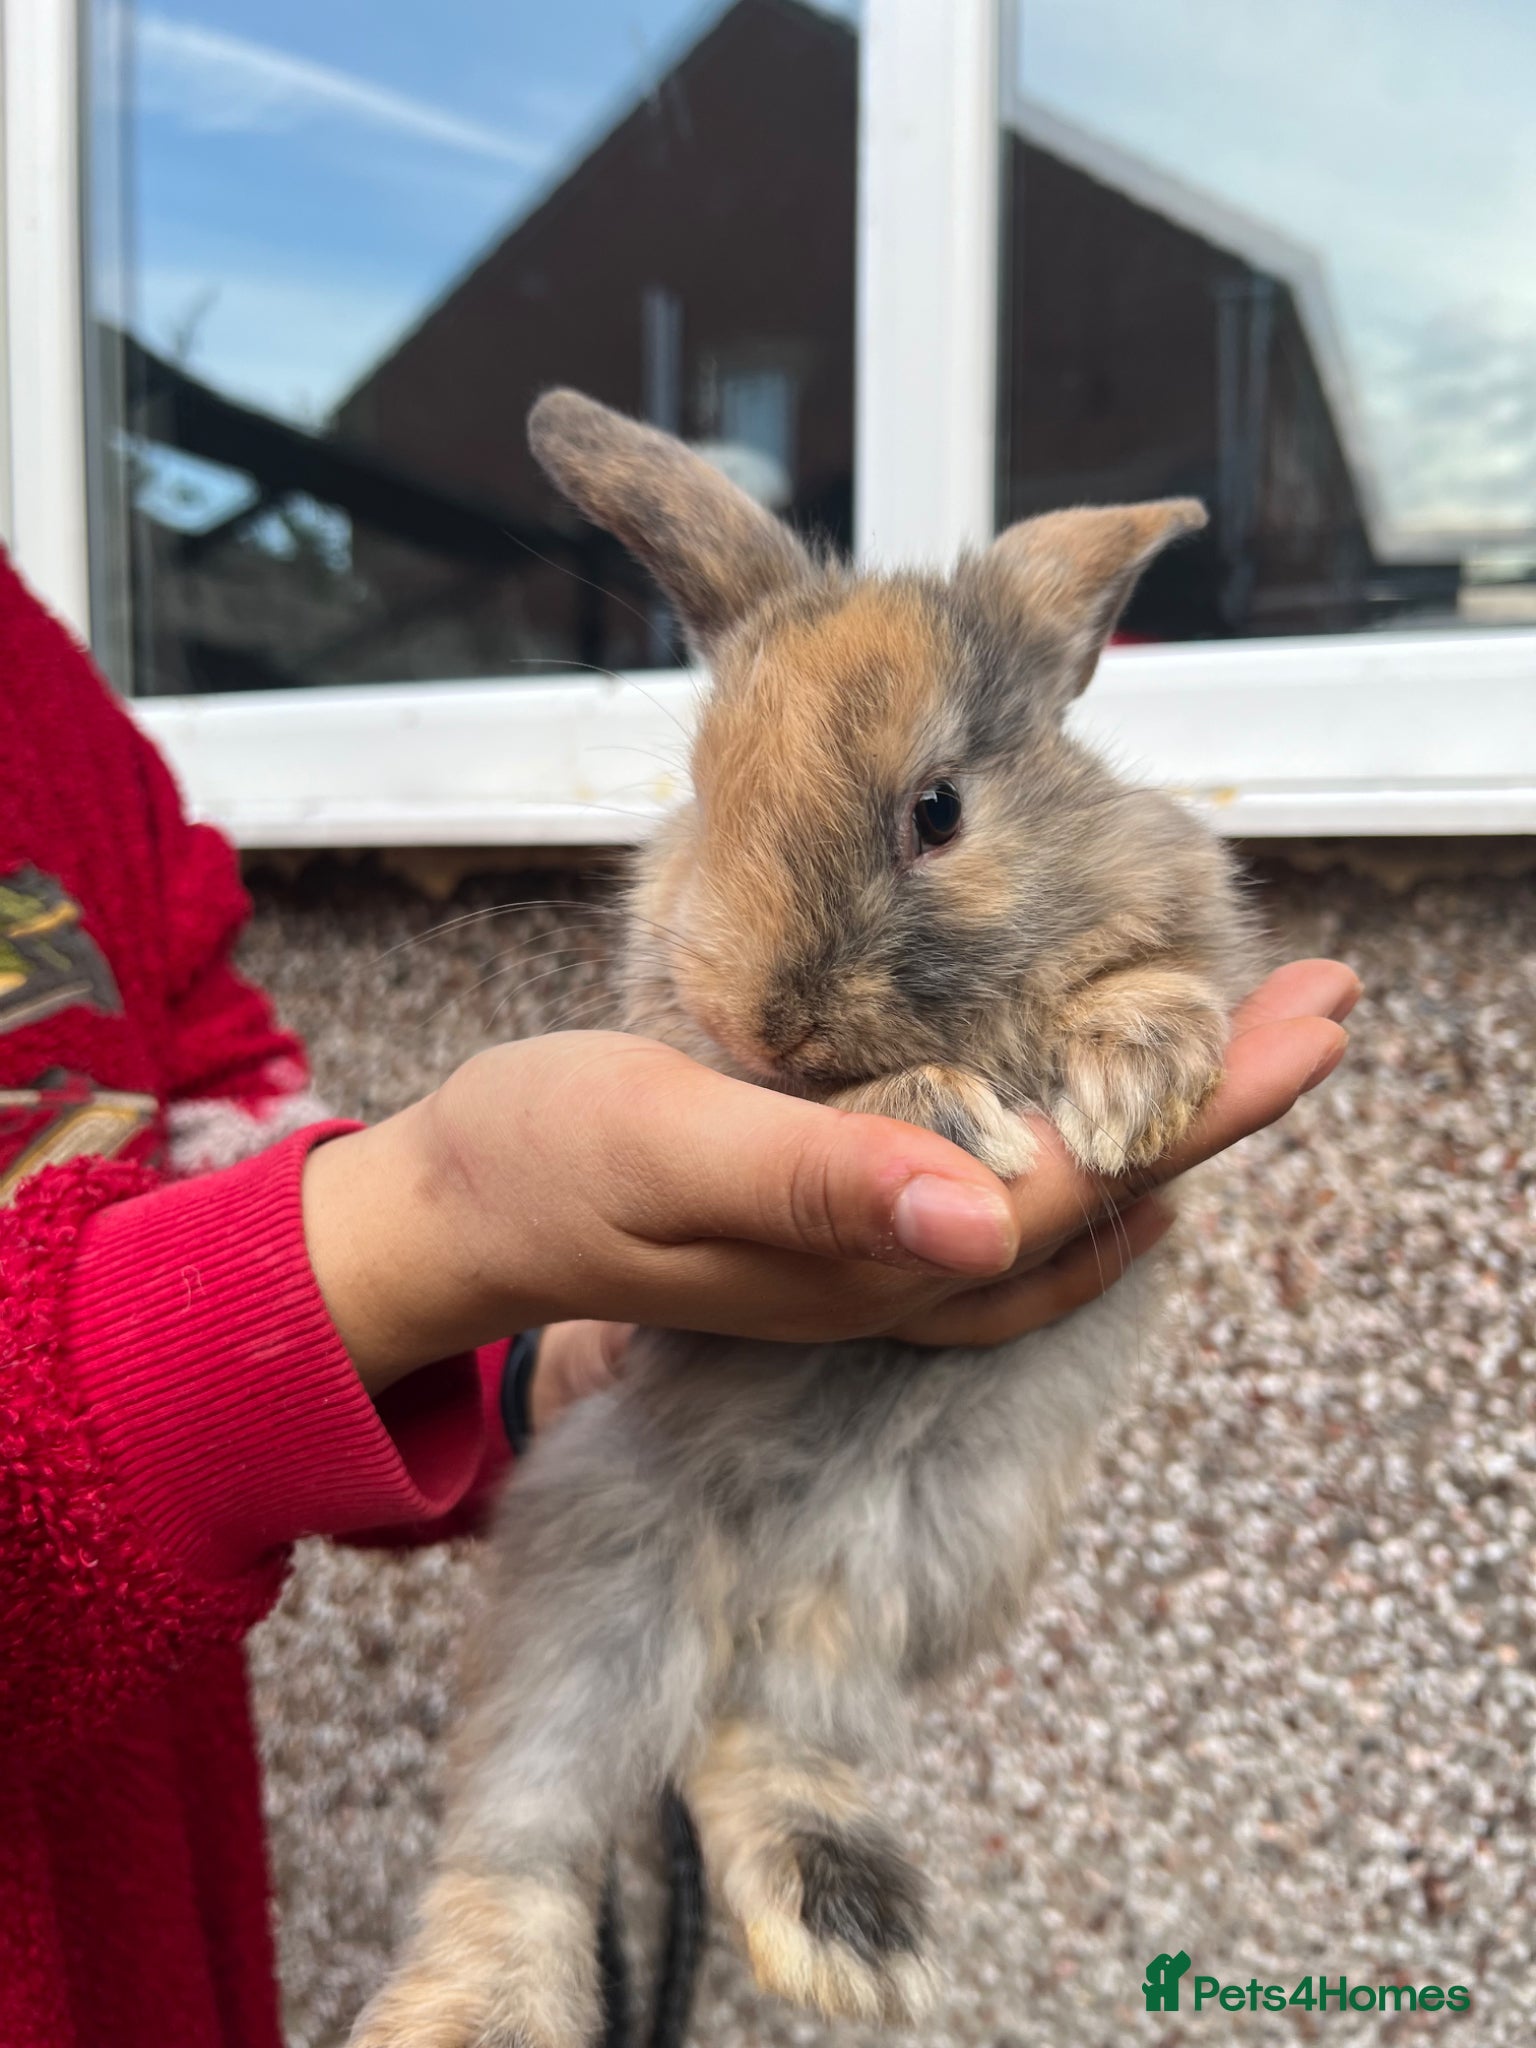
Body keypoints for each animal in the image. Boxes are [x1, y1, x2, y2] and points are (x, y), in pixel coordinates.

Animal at [349, 389, 1256, 2048]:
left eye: (939, 812)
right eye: (708, 792)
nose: (769, 1016)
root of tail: (760, 1577)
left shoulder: (1190, 918)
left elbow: (1156, 978)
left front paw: (1128, 1082)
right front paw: (939, 1114)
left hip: (926, 1562)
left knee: (754, 1740)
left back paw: (850, 1930)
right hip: (598, 1576)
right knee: (523, 1835)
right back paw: (477, 2012)